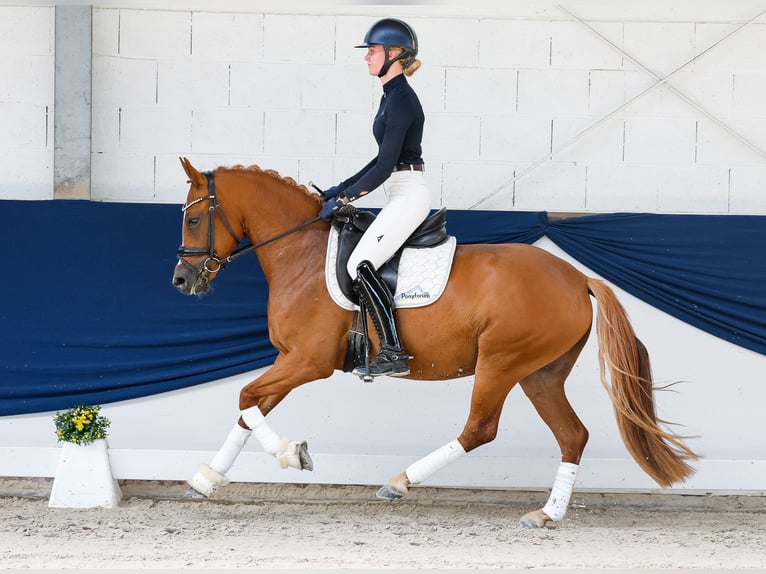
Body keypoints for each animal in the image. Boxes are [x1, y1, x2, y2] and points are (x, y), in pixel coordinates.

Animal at [172, 157, 698, 528]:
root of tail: (577, 278)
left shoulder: (307, 361)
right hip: (540, 373)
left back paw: (400, 483)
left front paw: (291, 453)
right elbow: (249, 406)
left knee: (480, 429)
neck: (299, 253)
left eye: (193, 221)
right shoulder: (290, 360)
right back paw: (547, 514)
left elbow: (246, 396)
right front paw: (207, 479)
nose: (182, 279)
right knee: (573, 435)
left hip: (502, 362)